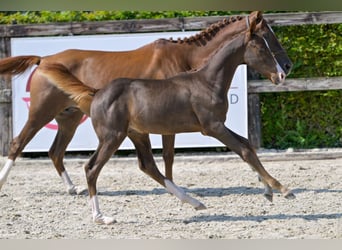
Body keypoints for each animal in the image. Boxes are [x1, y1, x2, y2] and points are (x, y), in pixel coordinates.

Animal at [40, 13, 296, 225]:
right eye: (262, 47)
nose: (283, 72)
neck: (207, 81)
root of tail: (97, 92)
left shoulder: (216, 126)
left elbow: (247, 145)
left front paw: (268, 191)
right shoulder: (212, 127)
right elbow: (243, 151)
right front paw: (283, 190)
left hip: (136, 134)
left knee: (147, 166)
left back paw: (194, 202)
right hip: (112, 137)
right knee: (92, 168)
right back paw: (101, 217)